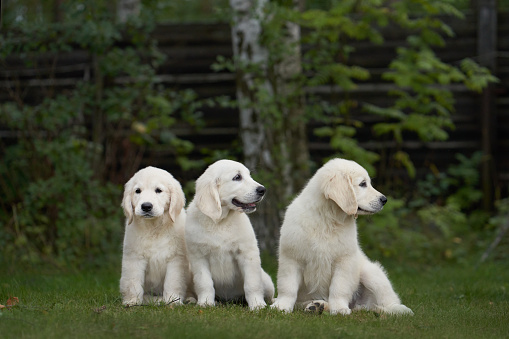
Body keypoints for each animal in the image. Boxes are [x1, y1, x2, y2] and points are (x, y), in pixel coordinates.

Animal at [119, 166, 190, 306]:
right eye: (137, 191)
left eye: (158, 190)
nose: (146, 206)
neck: (154, 228)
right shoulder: (134, 257)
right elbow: (133, 281)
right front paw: (132, 301)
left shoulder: (176, 259)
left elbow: (172, 282)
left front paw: (172, 301)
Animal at [185, 159, 274, 310]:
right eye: (237, 177)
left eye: (249, 175)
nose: (262, 190)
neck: (220, 221)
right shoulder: (198, 257)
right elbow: (204, 282)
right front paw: (206, 303)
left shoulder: (247, 253)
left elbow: (252, 283)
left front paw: (257, 304)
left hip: (267, 281)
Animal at [270, 159, 412, 316]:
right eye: (363, 184)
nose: (384, 199)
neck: (327, 219)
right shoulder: (291, 258)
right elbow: (287, 287)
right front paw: (281, 306)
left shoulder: (344, 261)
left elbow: (339, 287)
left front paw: (339, 309)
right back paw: (317, 306)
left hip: (371, 273)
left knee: (388, 300)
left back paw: (399, 310)